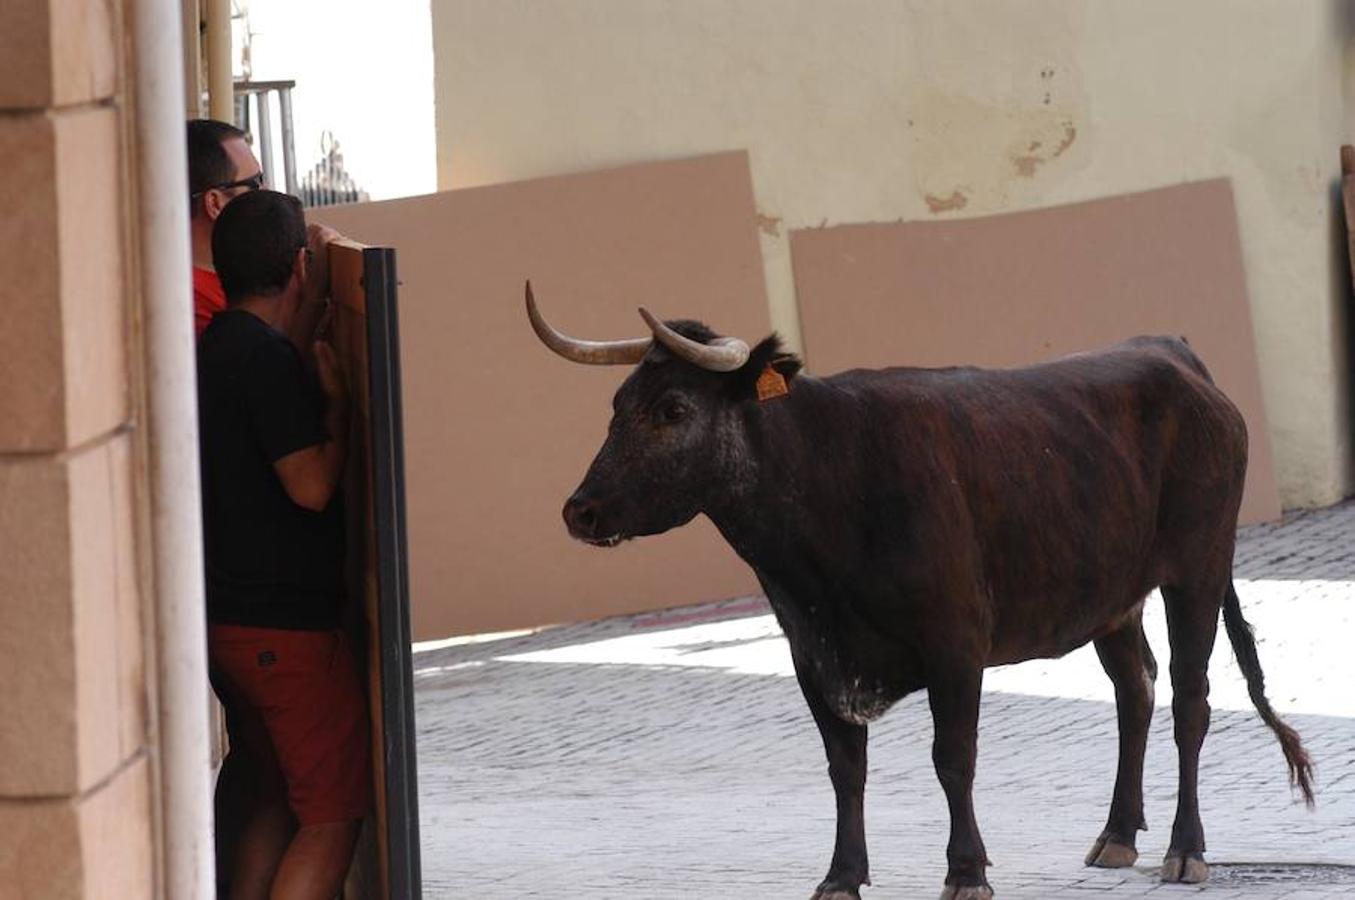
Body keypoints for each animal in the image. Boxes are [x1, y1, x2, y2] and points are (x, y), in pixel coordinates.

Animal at [525, 290, 1311, 900]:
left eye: (673, 410)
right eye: (617, 405)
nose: (579, 511)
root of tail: (1172, 353)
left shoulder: (954, 645)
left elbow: (952, 756)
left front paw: (966, 871)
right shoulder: (811, 655)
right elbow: (845, 767)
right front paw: (840, 875)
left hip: (1198, 568)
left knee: (1189, 700)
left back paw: (1186, 849)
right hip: (1112, 596)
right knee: (1135, 689)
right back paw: (1116, 834)